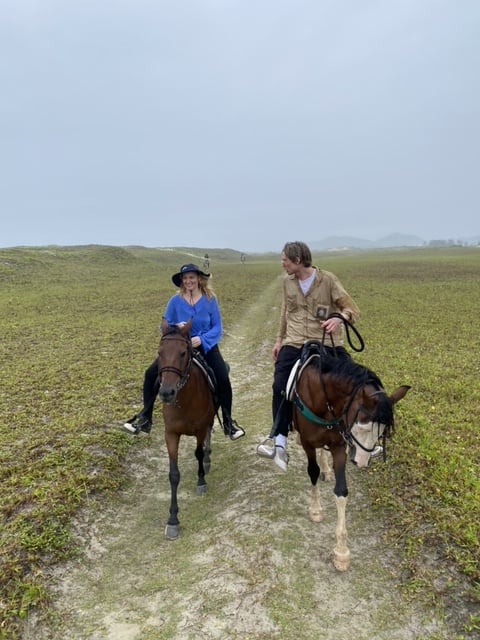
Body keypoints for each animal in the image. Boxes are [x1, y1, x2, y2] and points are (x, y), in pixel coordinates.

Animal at [156, 318, 216, 536]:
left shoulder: (199, 429)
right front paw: (173, 519)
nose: (166, 392)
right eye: (160, 352)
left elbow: (198, 453)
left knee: (209, 434)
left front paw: (201, 482)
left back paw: (207, 459)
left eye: (183, 352)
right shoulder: (171, 434)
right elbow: (173, 475)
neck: (184, 401)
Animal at [286, 342, 410, 572]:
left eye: (382, 432)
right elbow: (312, 472)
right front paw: (315, 510)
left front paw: (341, 552)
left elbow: (341, 491)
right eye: (363, 425)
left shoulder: (339, 445)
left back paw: (327, 470)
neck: (323, 398)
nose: (361, 461)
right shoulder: (308, 443)